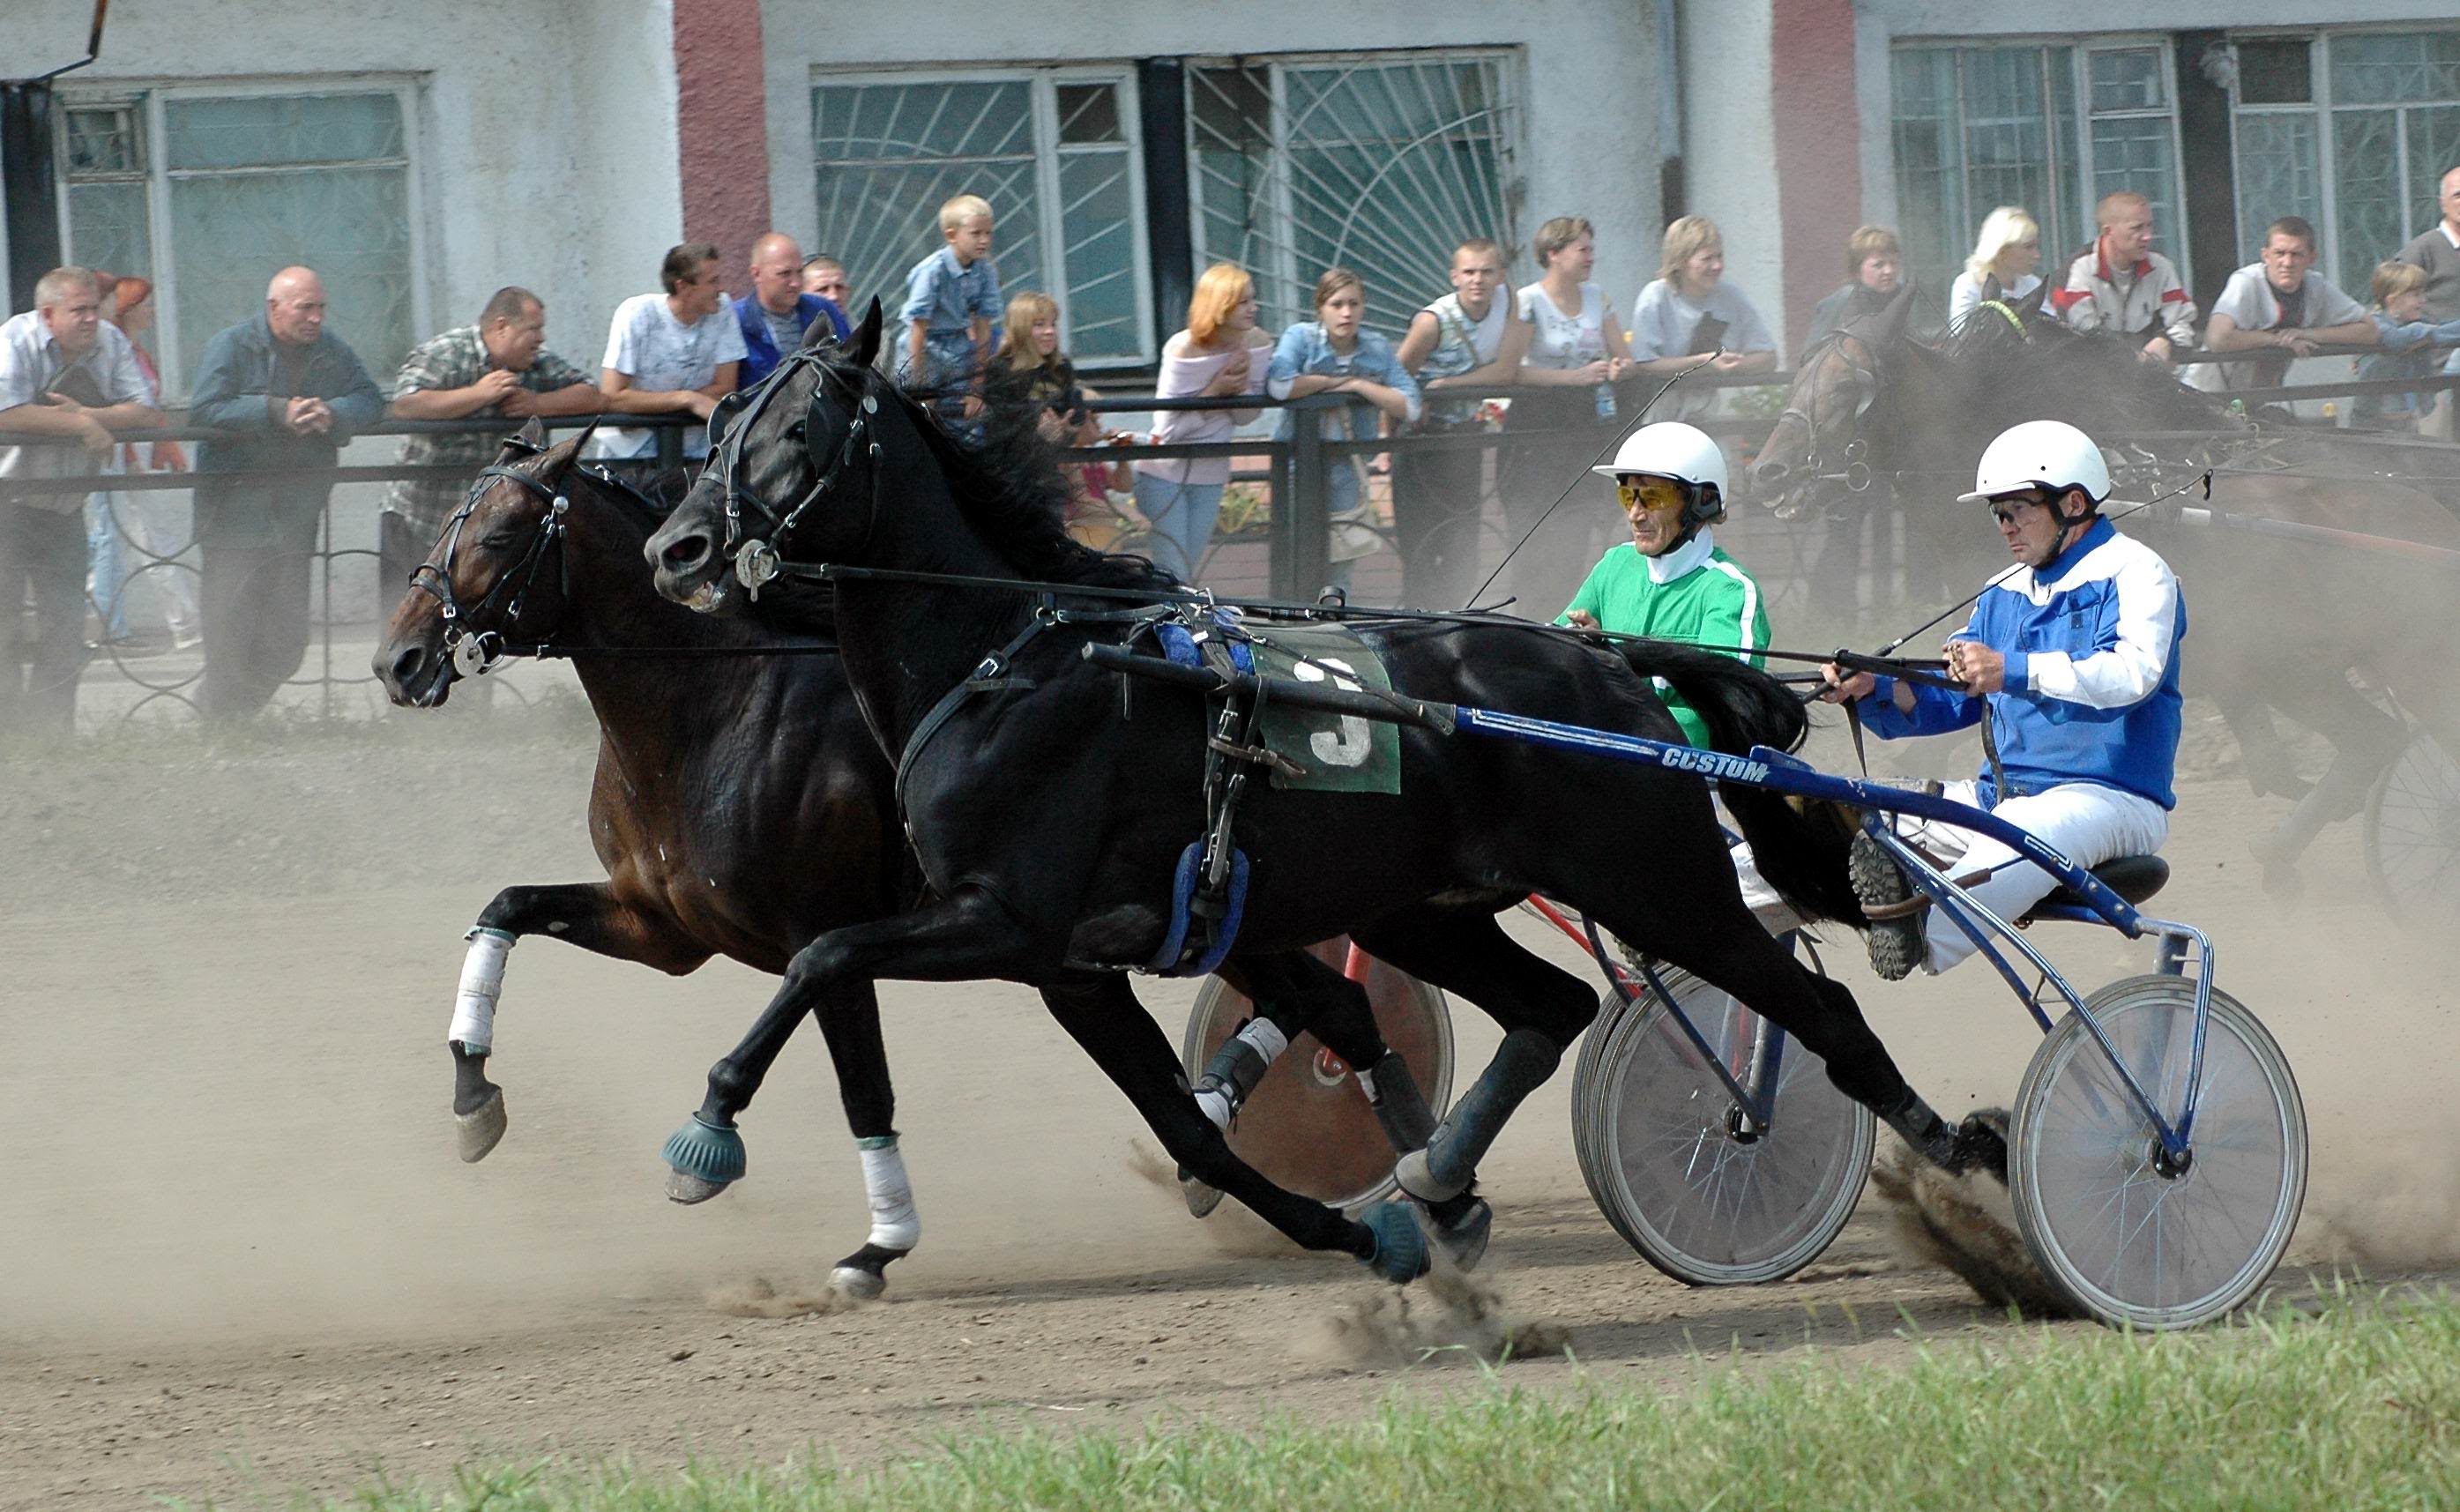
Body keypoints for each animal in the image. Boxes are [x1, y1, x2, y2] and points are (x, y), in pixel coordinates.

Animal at [370, 420, 1468, 1297]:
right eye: (444, 527)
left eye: (498, 536)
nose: (397, 660)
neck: (719, 708)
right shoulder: (664, 923)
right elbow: (506, 905)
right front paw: (472, 1096)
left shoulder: (828, 935)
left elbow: (864, 1082)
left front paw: (868, 1233)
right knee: (1328, 1006)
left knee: (1328, 1007)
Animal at [637, 302, 2005, 1287]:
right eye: (721, 420)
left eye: (799, 433)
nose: (676, 548)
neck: (1016, 660)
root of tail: (1614, 668)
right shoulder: (1072, 961)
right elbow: (1194, 1124)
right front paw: (1365, 1226)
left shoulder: (1003, 921)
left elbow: (817, 954)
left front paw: (707, 1131)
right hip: (1425, 906)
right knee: (1549, 1005)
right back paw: (1437, 1178)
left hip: (1661, 886)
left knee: (1811, 1009)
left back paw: (1951, 1145)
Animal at [1751, 284, 2460, 893]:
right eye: (1800, 373)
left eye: (1850, 387)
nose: (1768, 472)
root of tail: (2426, 512)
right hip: (2304, 670)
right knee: (2371, 741)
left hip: (2385, 667)